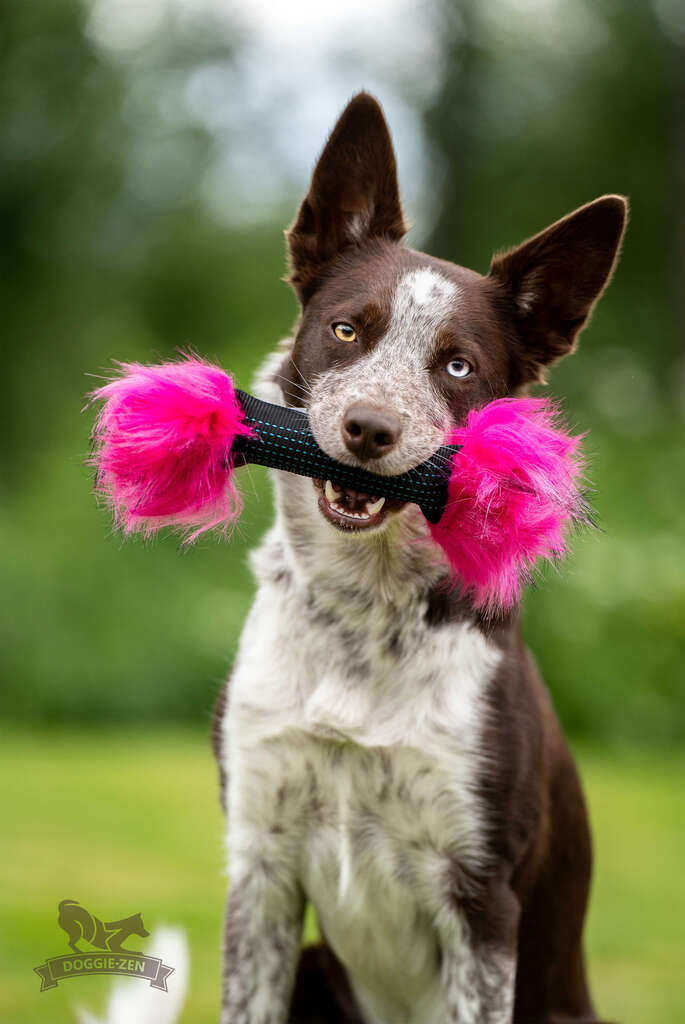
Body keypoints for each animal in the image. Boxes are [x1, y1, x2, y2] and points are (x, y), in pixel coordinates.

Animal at [210, 90, 626, 1024]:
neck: (360, 615)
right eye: (345, 330)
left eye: (457, 366)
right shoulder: (259, 862)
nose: (369, 428)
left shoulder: (481, 896)